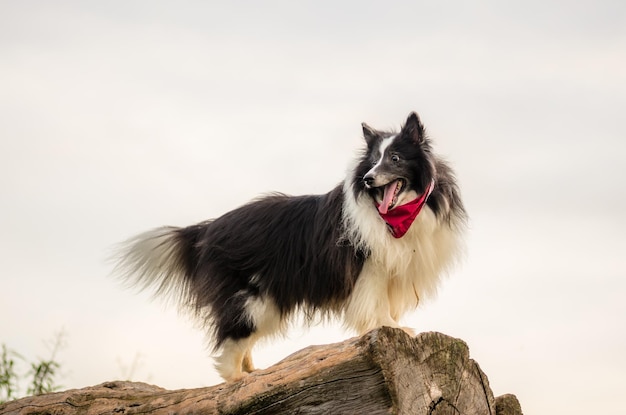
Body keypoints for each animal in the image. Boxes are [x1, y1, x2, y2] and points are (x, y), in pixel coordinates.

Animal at [112, 112, 466, 382]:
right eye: (372, 161)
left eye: (395, 158)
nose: (367, 178)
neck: (401, 214)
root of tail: (207, 228)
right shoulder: (369, 266)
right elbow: (374, 305)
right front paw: (394, 328)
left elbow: (385, 305)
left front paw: (395, 325)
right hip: (252, 298)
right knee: (230, 342)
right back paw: (238, 379)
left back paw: (253, 371)